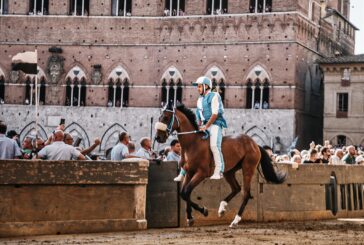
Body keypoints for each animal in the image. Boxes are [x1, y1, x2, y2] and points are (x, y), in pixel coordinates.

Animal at [155, 102, 286, 227]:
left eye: (166, 117)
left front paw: (204, 210)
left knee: (246, 194)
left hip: (248, 169)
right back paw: (221, 209)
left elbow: (186, 192)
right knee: (236, 188)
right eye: (160, 117)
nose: (158, 137)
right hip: (229, 171)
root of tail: (254, 143)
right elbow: (184, 192)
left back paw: (235, 220)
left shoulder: (201, 173)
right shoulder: (189, 172)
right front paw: (190, 217)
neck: (193, 144)